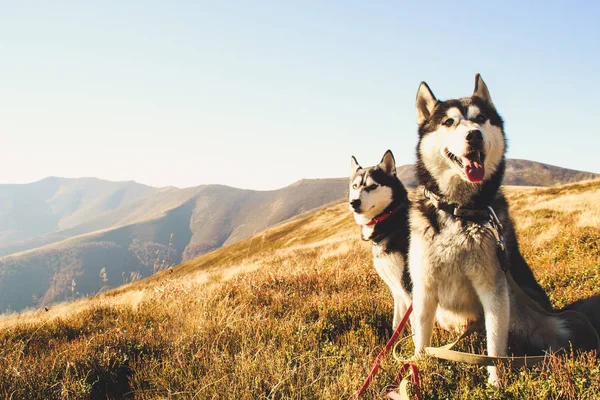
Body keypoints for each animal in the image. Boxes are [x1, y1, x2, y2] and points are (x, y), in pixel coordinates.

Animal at [352, 150, 412, 328]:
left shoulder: (409, 290)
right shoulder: (397, 291)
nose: (353, 202)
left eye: (373, 186)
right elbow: (397, 324)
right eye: (355, 186)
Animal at [408, 74, 576, 384]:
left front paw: (496, 382)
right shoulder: (424, 287)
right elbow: (421, 337)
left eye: (481, 118)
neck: (460, 211)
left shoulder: (493, 288)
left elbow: (495, 344)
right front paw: (417, 366)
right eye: (448, 122)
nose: (474, 135)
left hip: (523, 307)